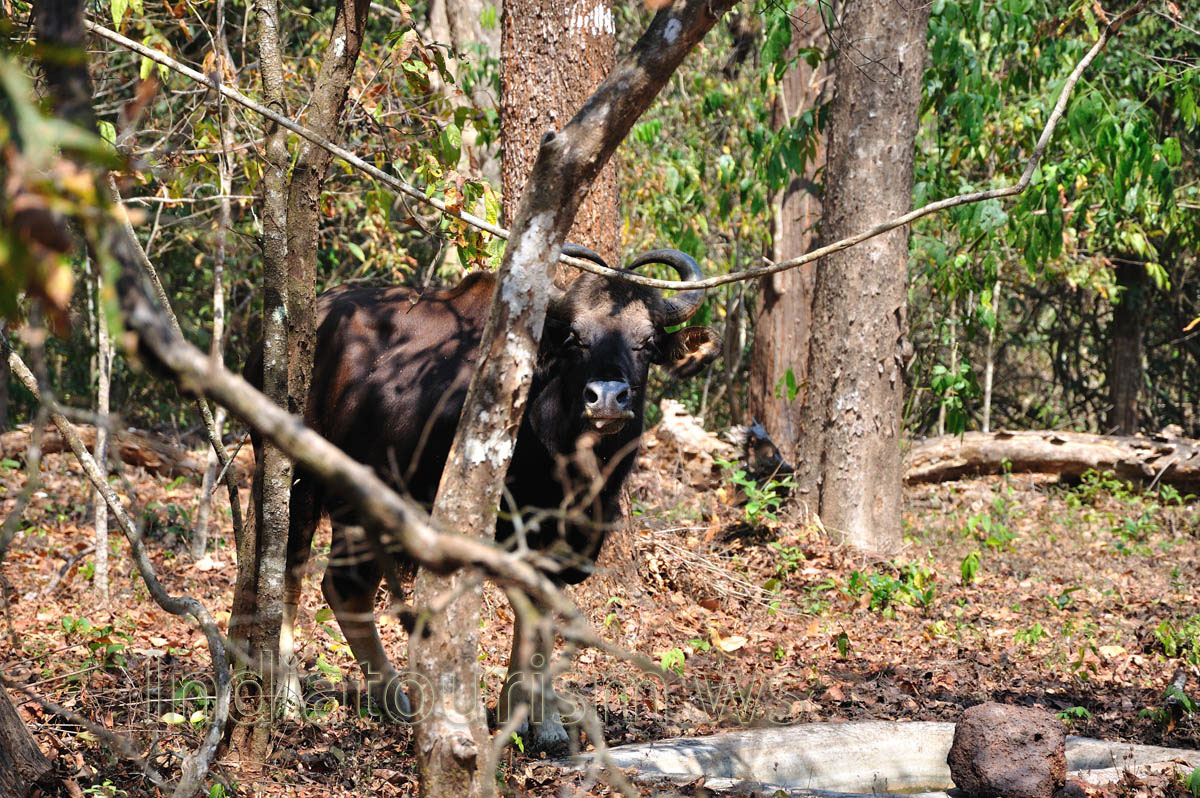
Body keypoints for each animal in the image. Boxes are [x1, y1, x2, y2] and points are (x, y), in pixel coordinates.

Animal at [265, 245, 719, 747]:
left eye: (647, 342)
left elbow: (541, 620)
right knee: (302, 575)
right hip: (304, 483)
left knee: (339, 587)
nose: (606, 398)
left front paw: (530, 714)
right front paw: (537, 718)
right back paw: (302, 698)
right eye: (575, 339)